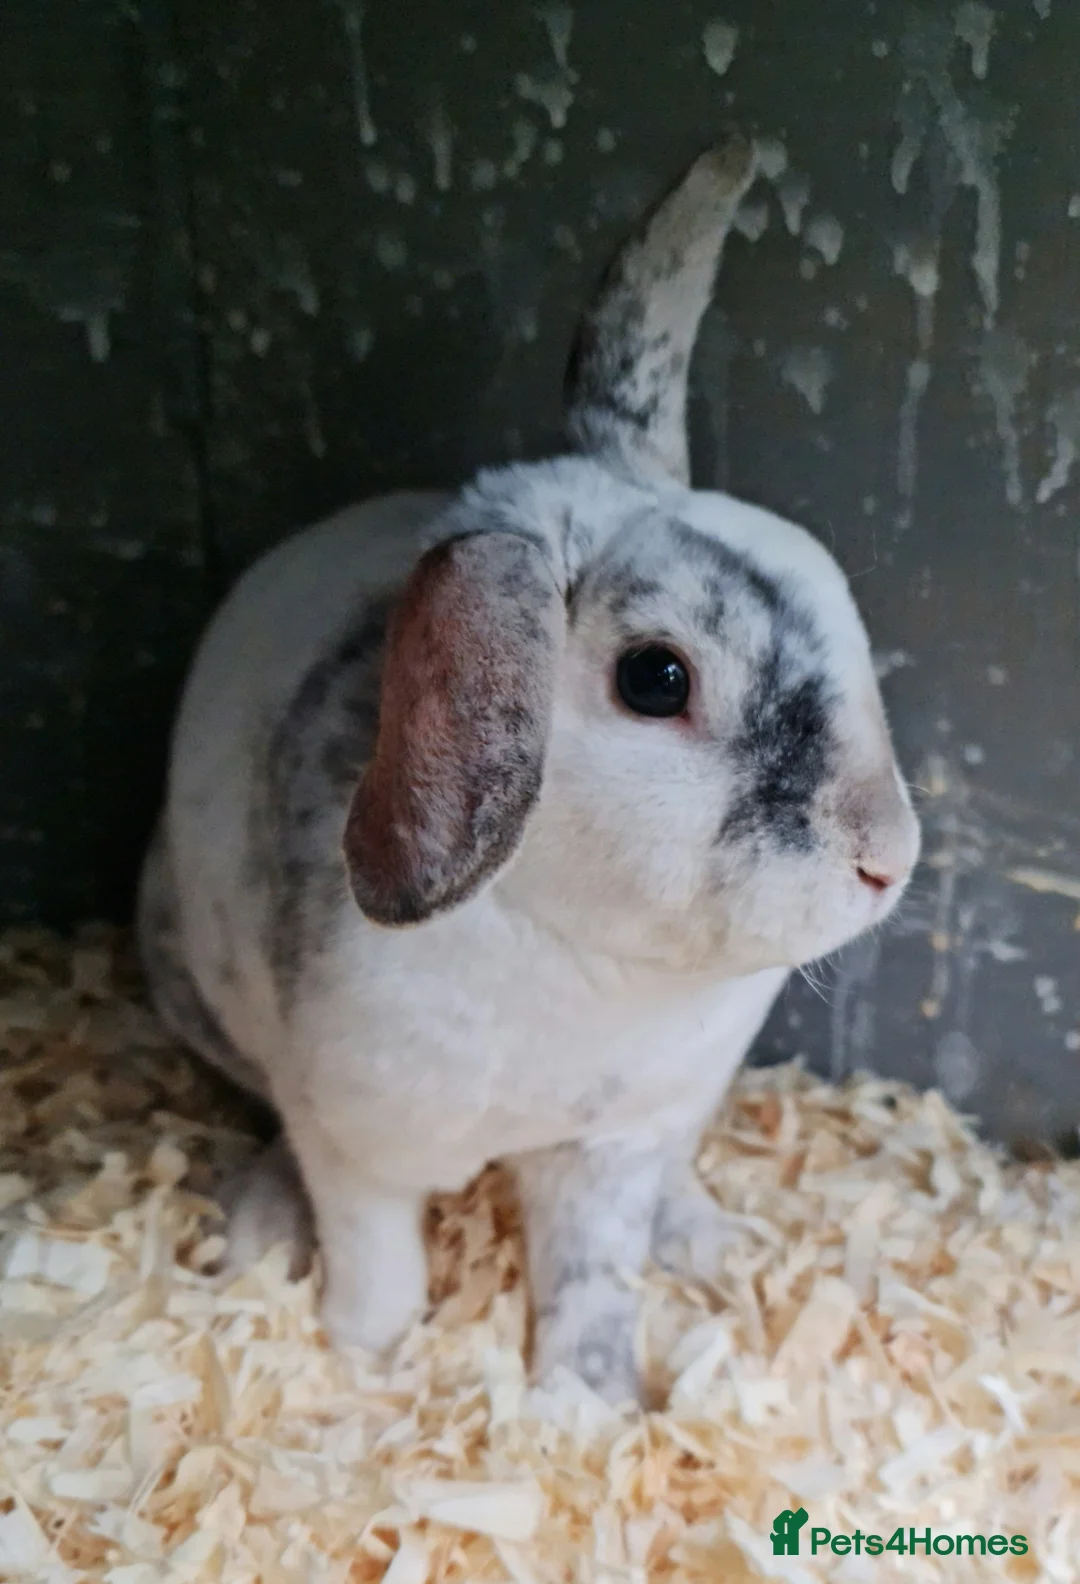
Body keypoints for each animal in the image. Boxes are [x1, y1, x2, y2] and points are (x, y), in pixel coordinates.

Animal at [137, 130, 921, 1406]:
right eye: (656, 678)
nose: (886, 858)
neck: (586, 965)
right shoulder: (358, 1148)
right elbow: (382, 1274)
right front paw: (366, 1364)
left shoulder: (610, 1146)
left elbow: (591, 1280)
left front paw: (586, 1406)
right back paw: (261, 1227)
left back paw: (705, 1239)